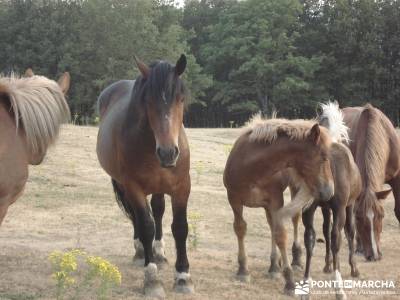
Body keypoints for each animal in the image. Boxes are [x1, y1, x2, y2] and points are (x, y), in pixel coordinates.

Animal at [95, 54, 192, 298]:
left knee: (157, 209)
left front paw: (183, 276)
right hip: (124, 185)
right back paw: (141, 252)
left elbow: (180, 227)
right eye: (148, 101)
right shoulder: (133, 187)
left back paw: (159, 252)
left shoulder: (182, 187)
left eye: (181, 99)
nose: (168, 153)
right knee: (139, 217)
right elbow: (146, 226)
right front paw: (152, 279)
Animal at [225, 116, 334, 296]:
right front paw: (243, 270)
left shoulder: (276, 202)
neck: (252, 169)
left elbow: (281, 235)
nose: (330, 192)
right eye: (324, 157)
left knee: (293, 220)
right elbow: (240, 228)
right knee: (271, 226)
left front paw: (289, 281)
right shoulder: (234, 200)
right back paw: (274, 266)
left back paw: (294, 260)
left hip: (292, 189)